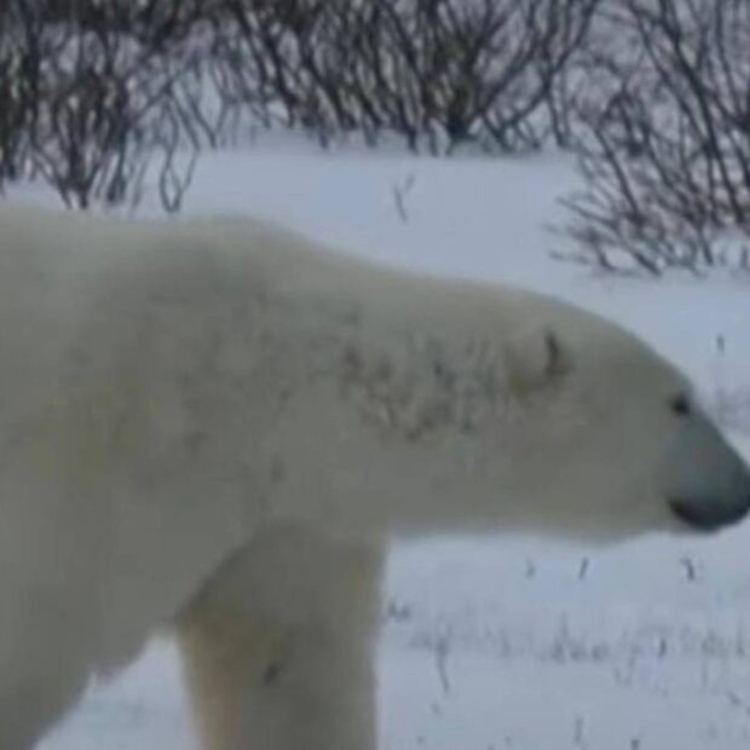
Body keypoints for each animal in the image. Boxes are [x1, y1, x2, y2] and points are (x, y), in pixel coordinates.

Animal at [0, 206, 748, 750]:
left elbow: (287, 674)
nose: (740, 485)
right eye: (680, 402)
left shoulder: (286, 517)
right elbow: (34, 641)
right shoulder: (106, 471)